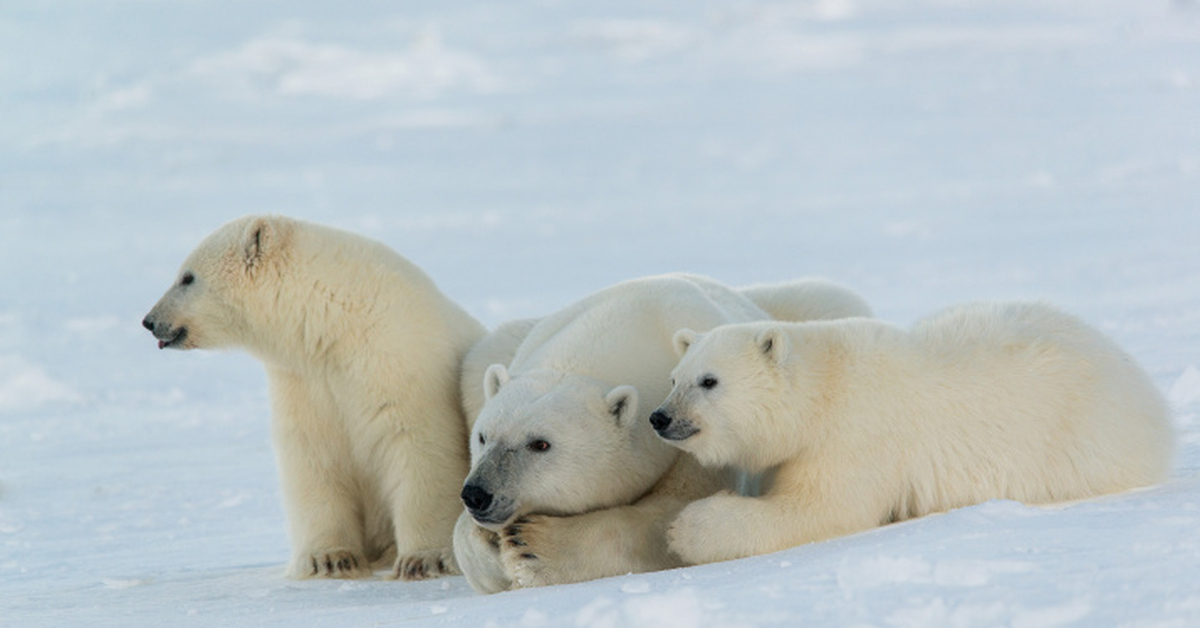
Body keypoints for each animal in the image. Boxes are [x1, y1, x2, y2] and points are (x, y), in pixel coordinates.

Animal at [146, 216, 487, 581]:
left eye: (187, 277)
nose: (149, 321)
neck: (336, 324)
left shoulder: (400, 363)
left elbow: (421, 447)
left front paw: (424, 559)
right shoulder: (306, 381)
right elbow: (312, 456)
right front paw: (329, 559)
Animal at [451, 272, 873, 593]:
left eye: (540, 444)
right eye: (483, 437)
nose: (478, 494)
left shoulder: (693, 440)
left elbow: (667, 519)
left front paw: (532, 546)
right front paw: (489, 548)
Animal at [652, 302, 1176, 566]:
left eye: (709, 381)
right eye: (675, 378)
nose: (659, 417)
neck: (824, 386)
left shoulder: (853, 434)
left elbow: (821, 510)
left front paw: (684, 528)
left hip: (1081, 440)